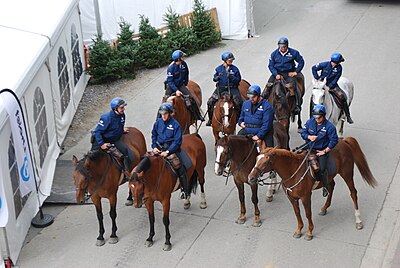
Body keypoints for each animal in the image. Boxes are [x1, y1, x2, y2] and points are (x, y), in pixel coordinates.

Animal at [248, 137, 376, 240]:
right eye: (256, 159)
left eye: (266, 161)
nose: (251, 178)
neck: (293, 170)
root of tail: (343, 141)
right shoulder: (292, 198)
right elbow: (297, 213)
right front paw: (299, 230)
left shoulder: (306, 196)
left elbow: (308, 213)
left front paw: (309, 232)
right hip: (330, 177)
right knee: (331, 186)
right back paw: (324, 208)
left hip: (347, 174)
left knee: (353, 193)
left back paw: (358, 220)